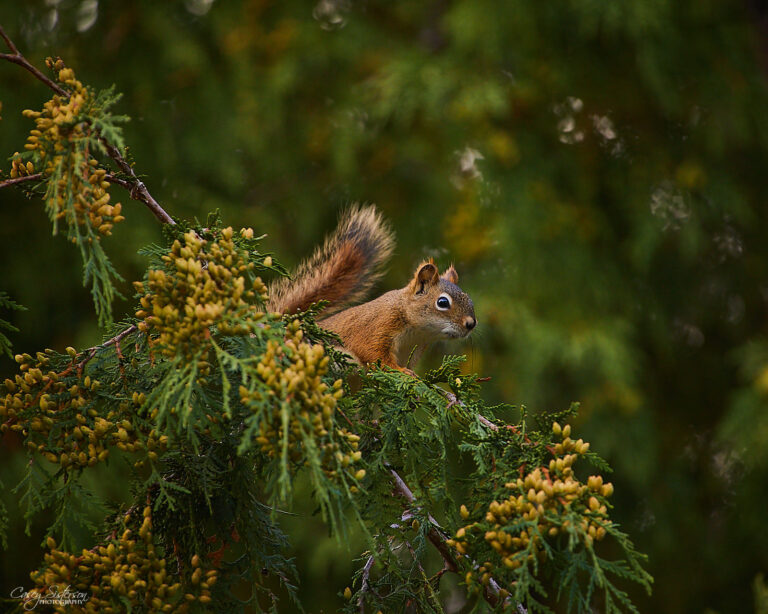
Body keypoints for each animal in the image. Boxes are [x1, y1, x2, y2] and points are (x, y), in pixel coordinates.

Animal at [268, 205, 477, 373]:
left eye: (470, 299)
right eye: (442, 302)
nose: (471, 324)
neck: (417, 332)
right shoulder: (377, 326)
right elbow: (373, 353)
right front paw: (401, 371)